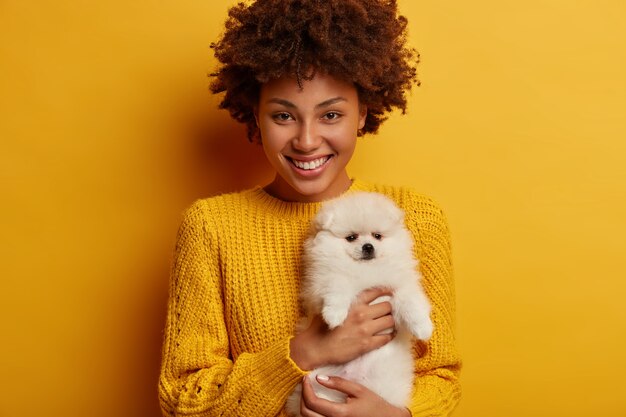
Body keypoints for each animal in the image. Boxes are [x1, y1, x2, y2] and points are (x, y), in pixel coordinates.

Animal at [286, 190, 432, 414]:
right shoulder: (320, 286)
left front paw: (423, 327)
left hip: (383, 385)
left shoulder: (399, 286)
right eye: (351, 238)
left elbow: (411, 302)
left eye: (377, 236)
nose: (368, 246)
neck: (366, 269)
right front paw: (334, 315)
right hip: (316, 382)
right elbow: (338, 284)